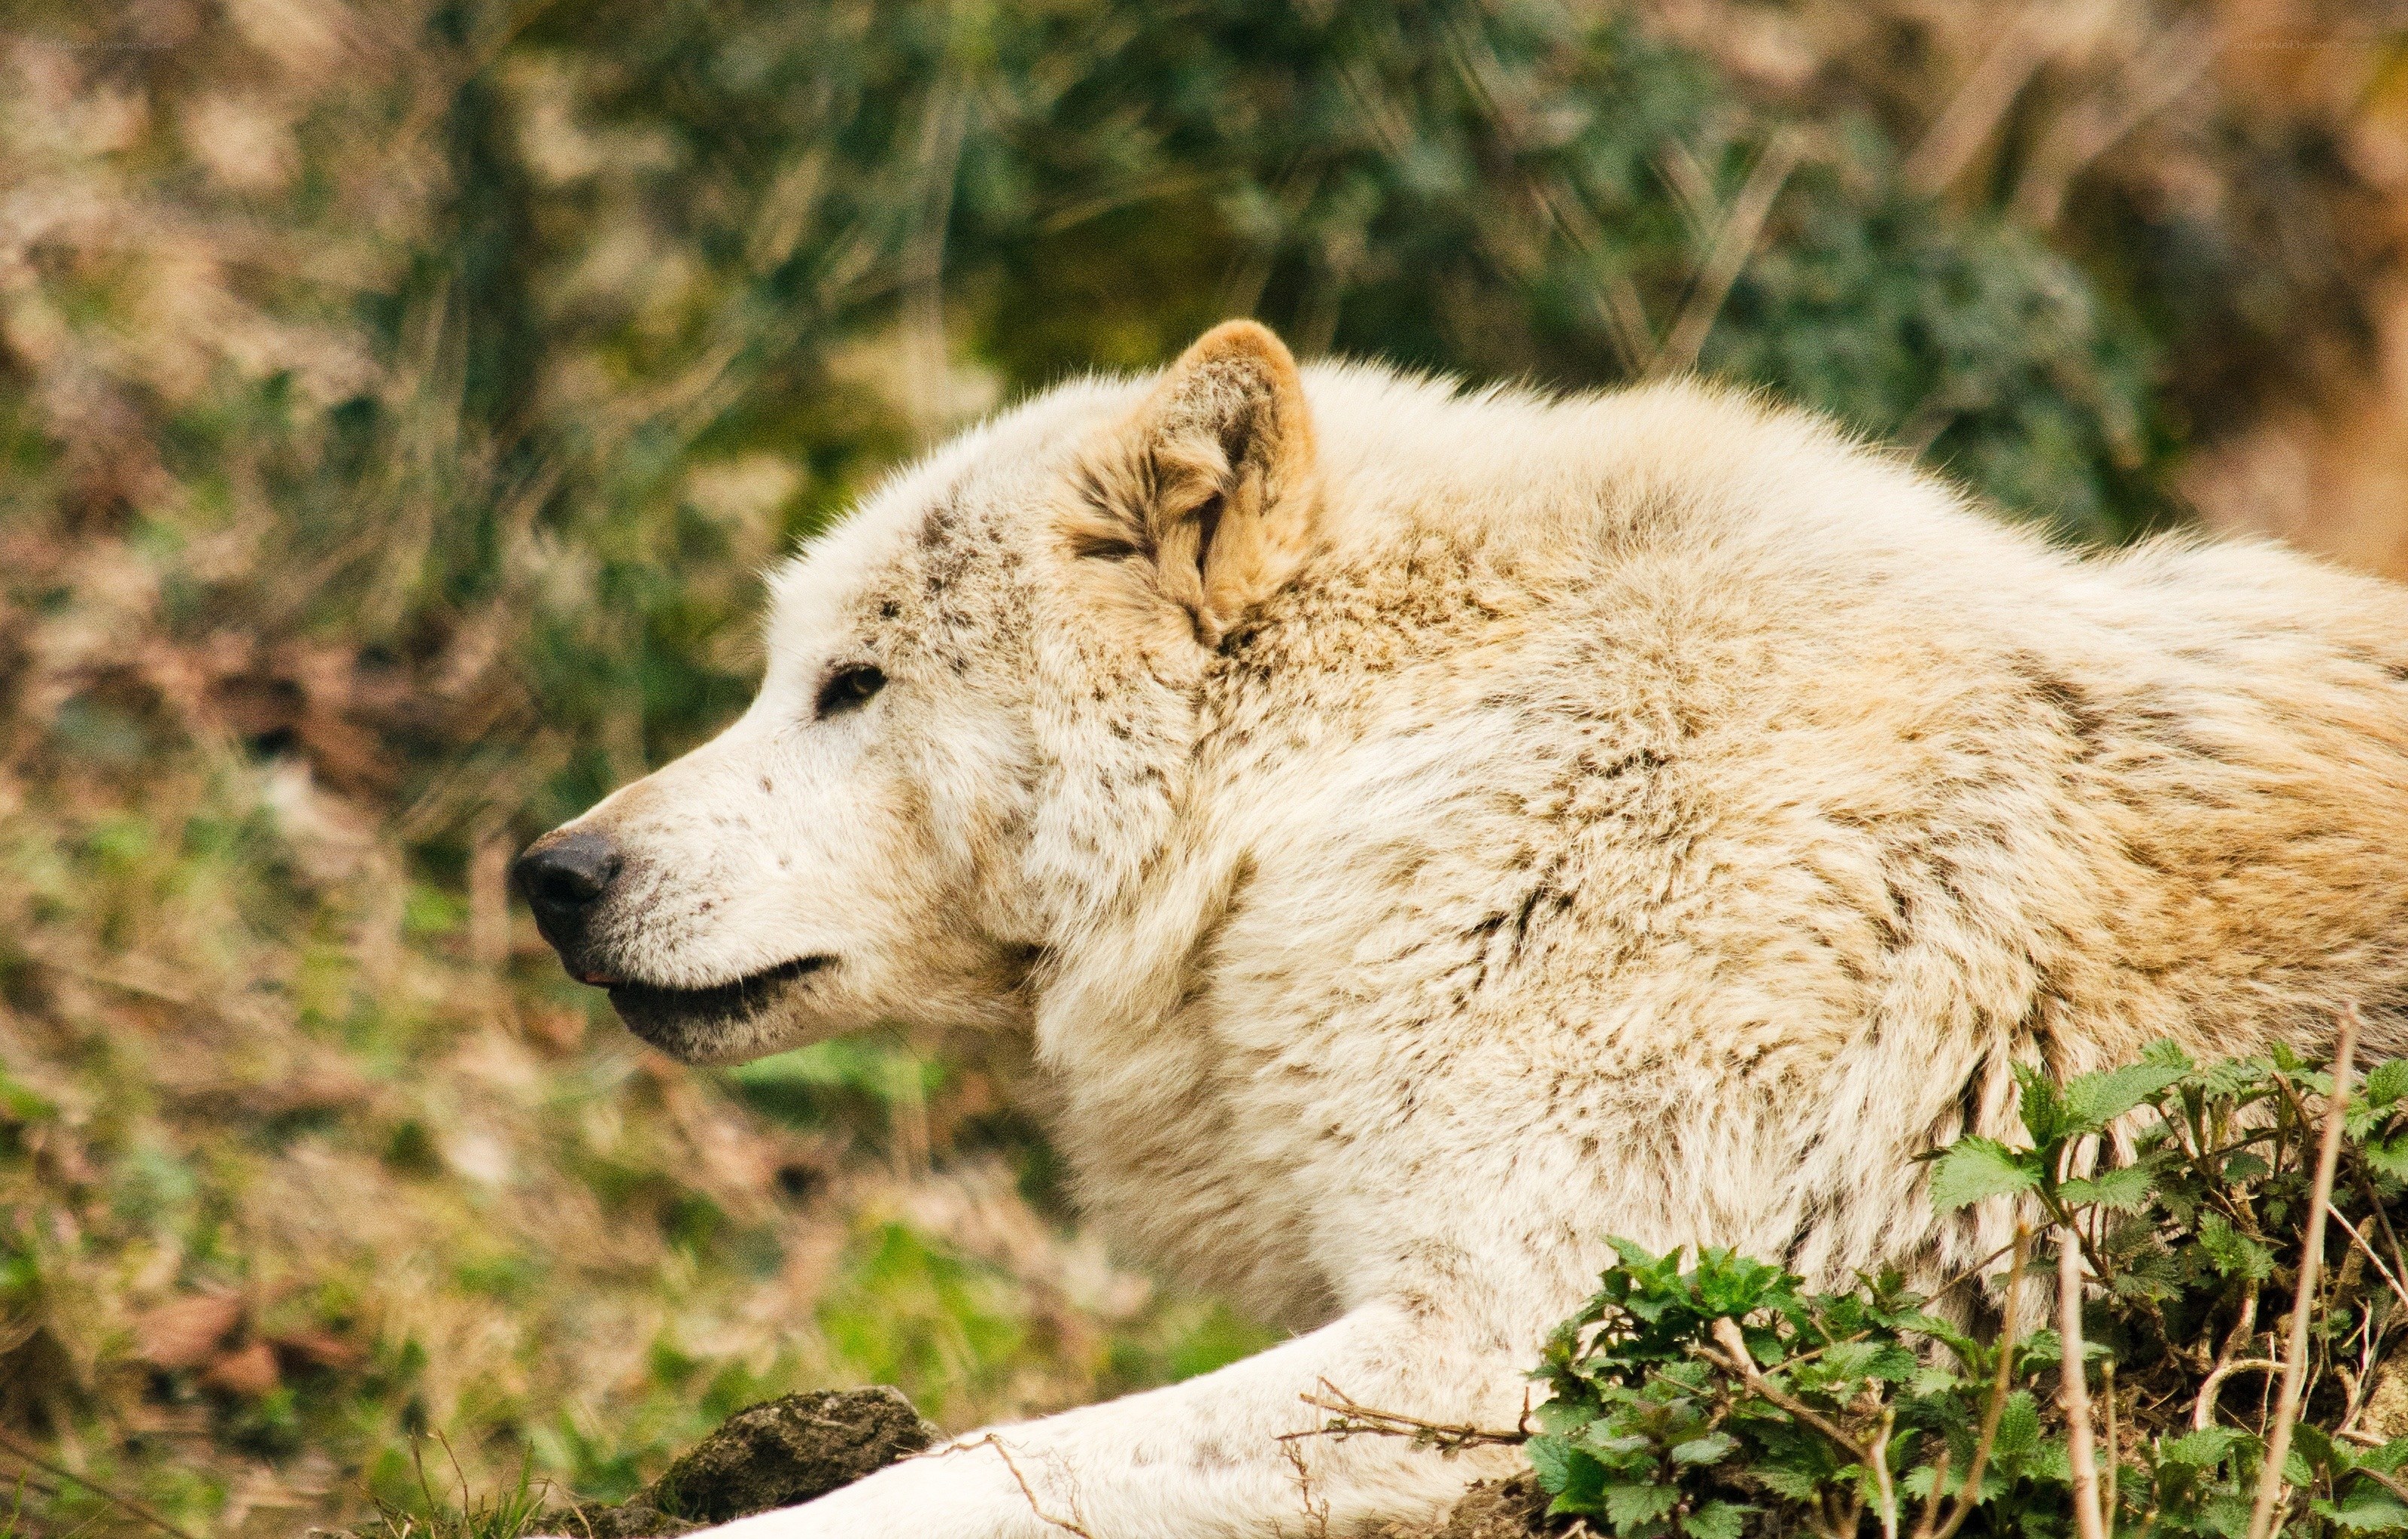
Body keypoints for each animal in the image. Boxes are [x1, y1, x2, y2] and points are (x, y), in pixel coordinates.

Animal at [515, 320, 2408, 1537]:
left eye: (854, 684)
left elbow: (950, 1471)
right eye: (784, 672)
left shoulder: (1521, 1342)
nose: (551, 874)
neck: (1392, 778)